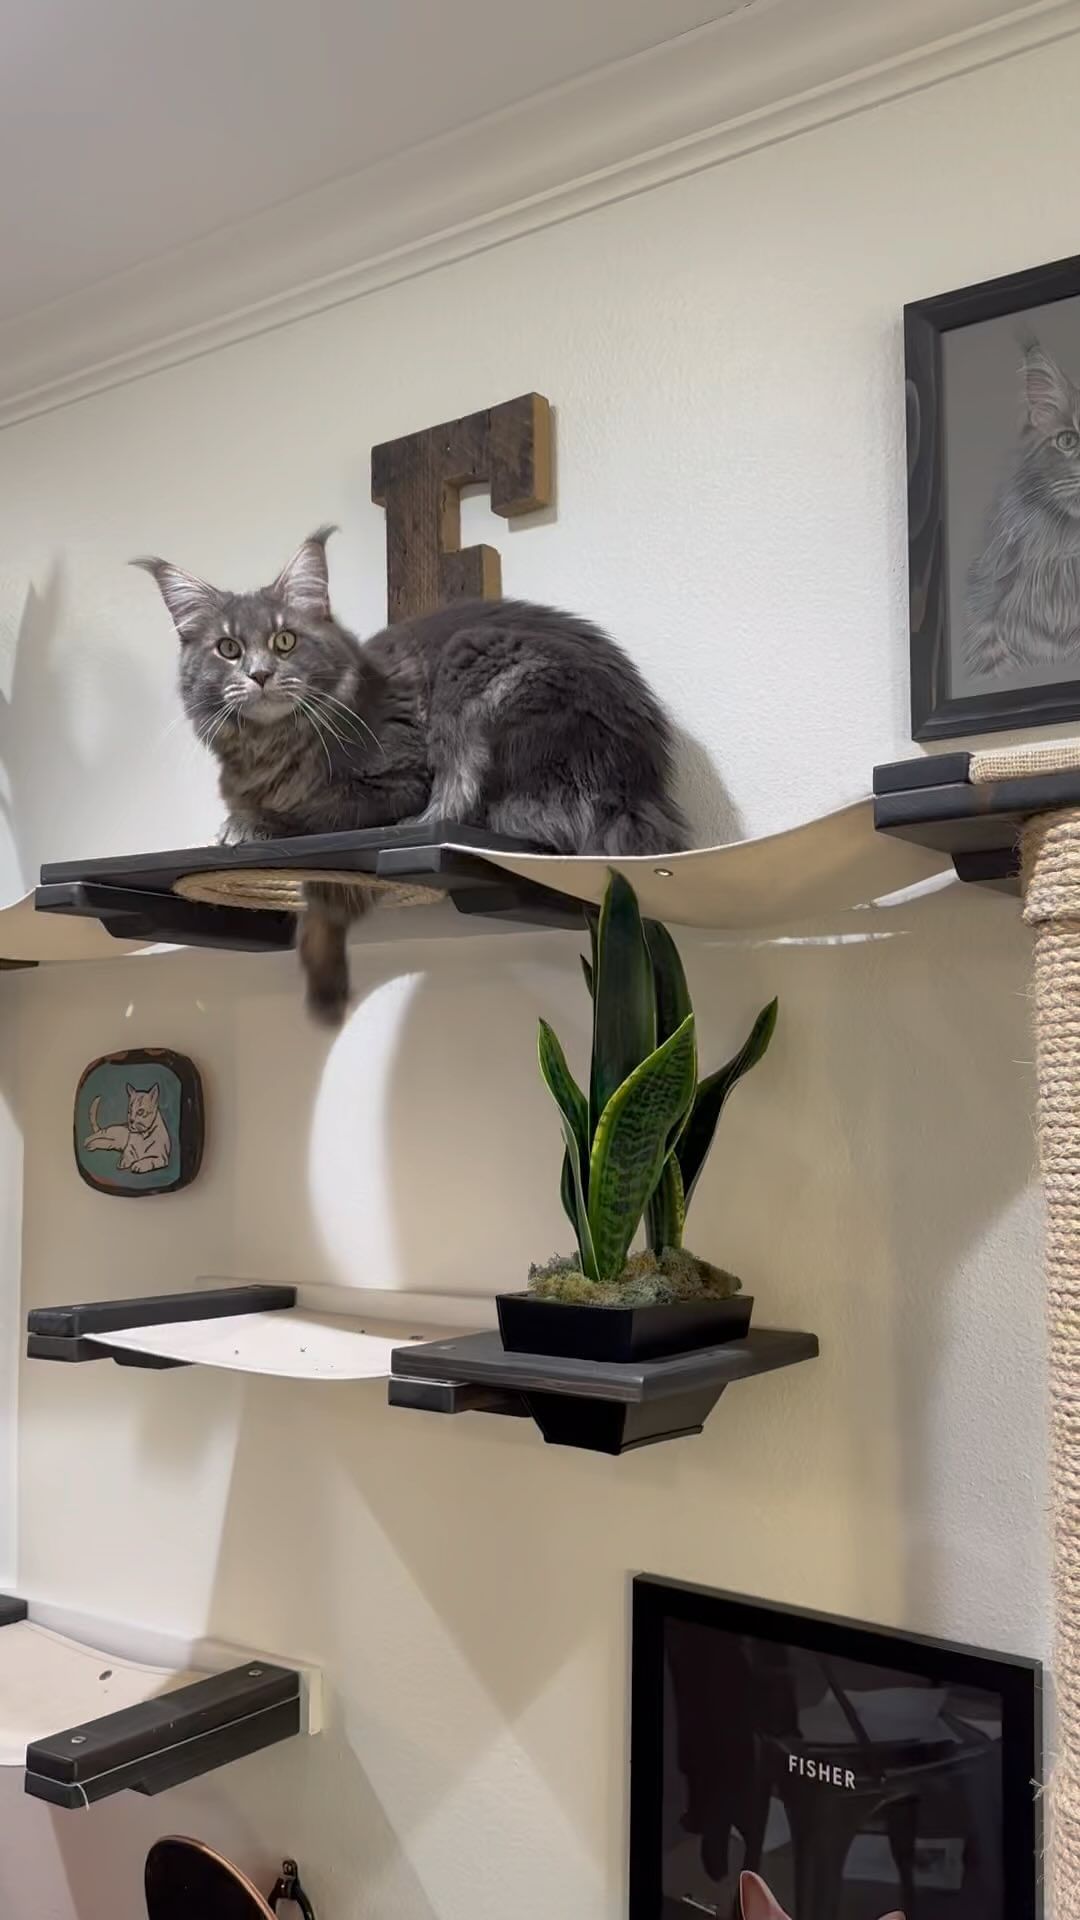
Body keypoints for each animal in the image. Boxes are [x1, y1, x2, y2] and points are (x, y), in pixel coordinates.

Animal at [135, 528, 688, 1025]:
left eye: (285, 641)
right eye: (228, 649)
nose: (260, 675)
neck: (273, 746)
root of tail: (640, 787)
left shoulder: (396, 783)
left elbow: (314, 817)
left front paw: (250, 826)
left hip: (478, 669)